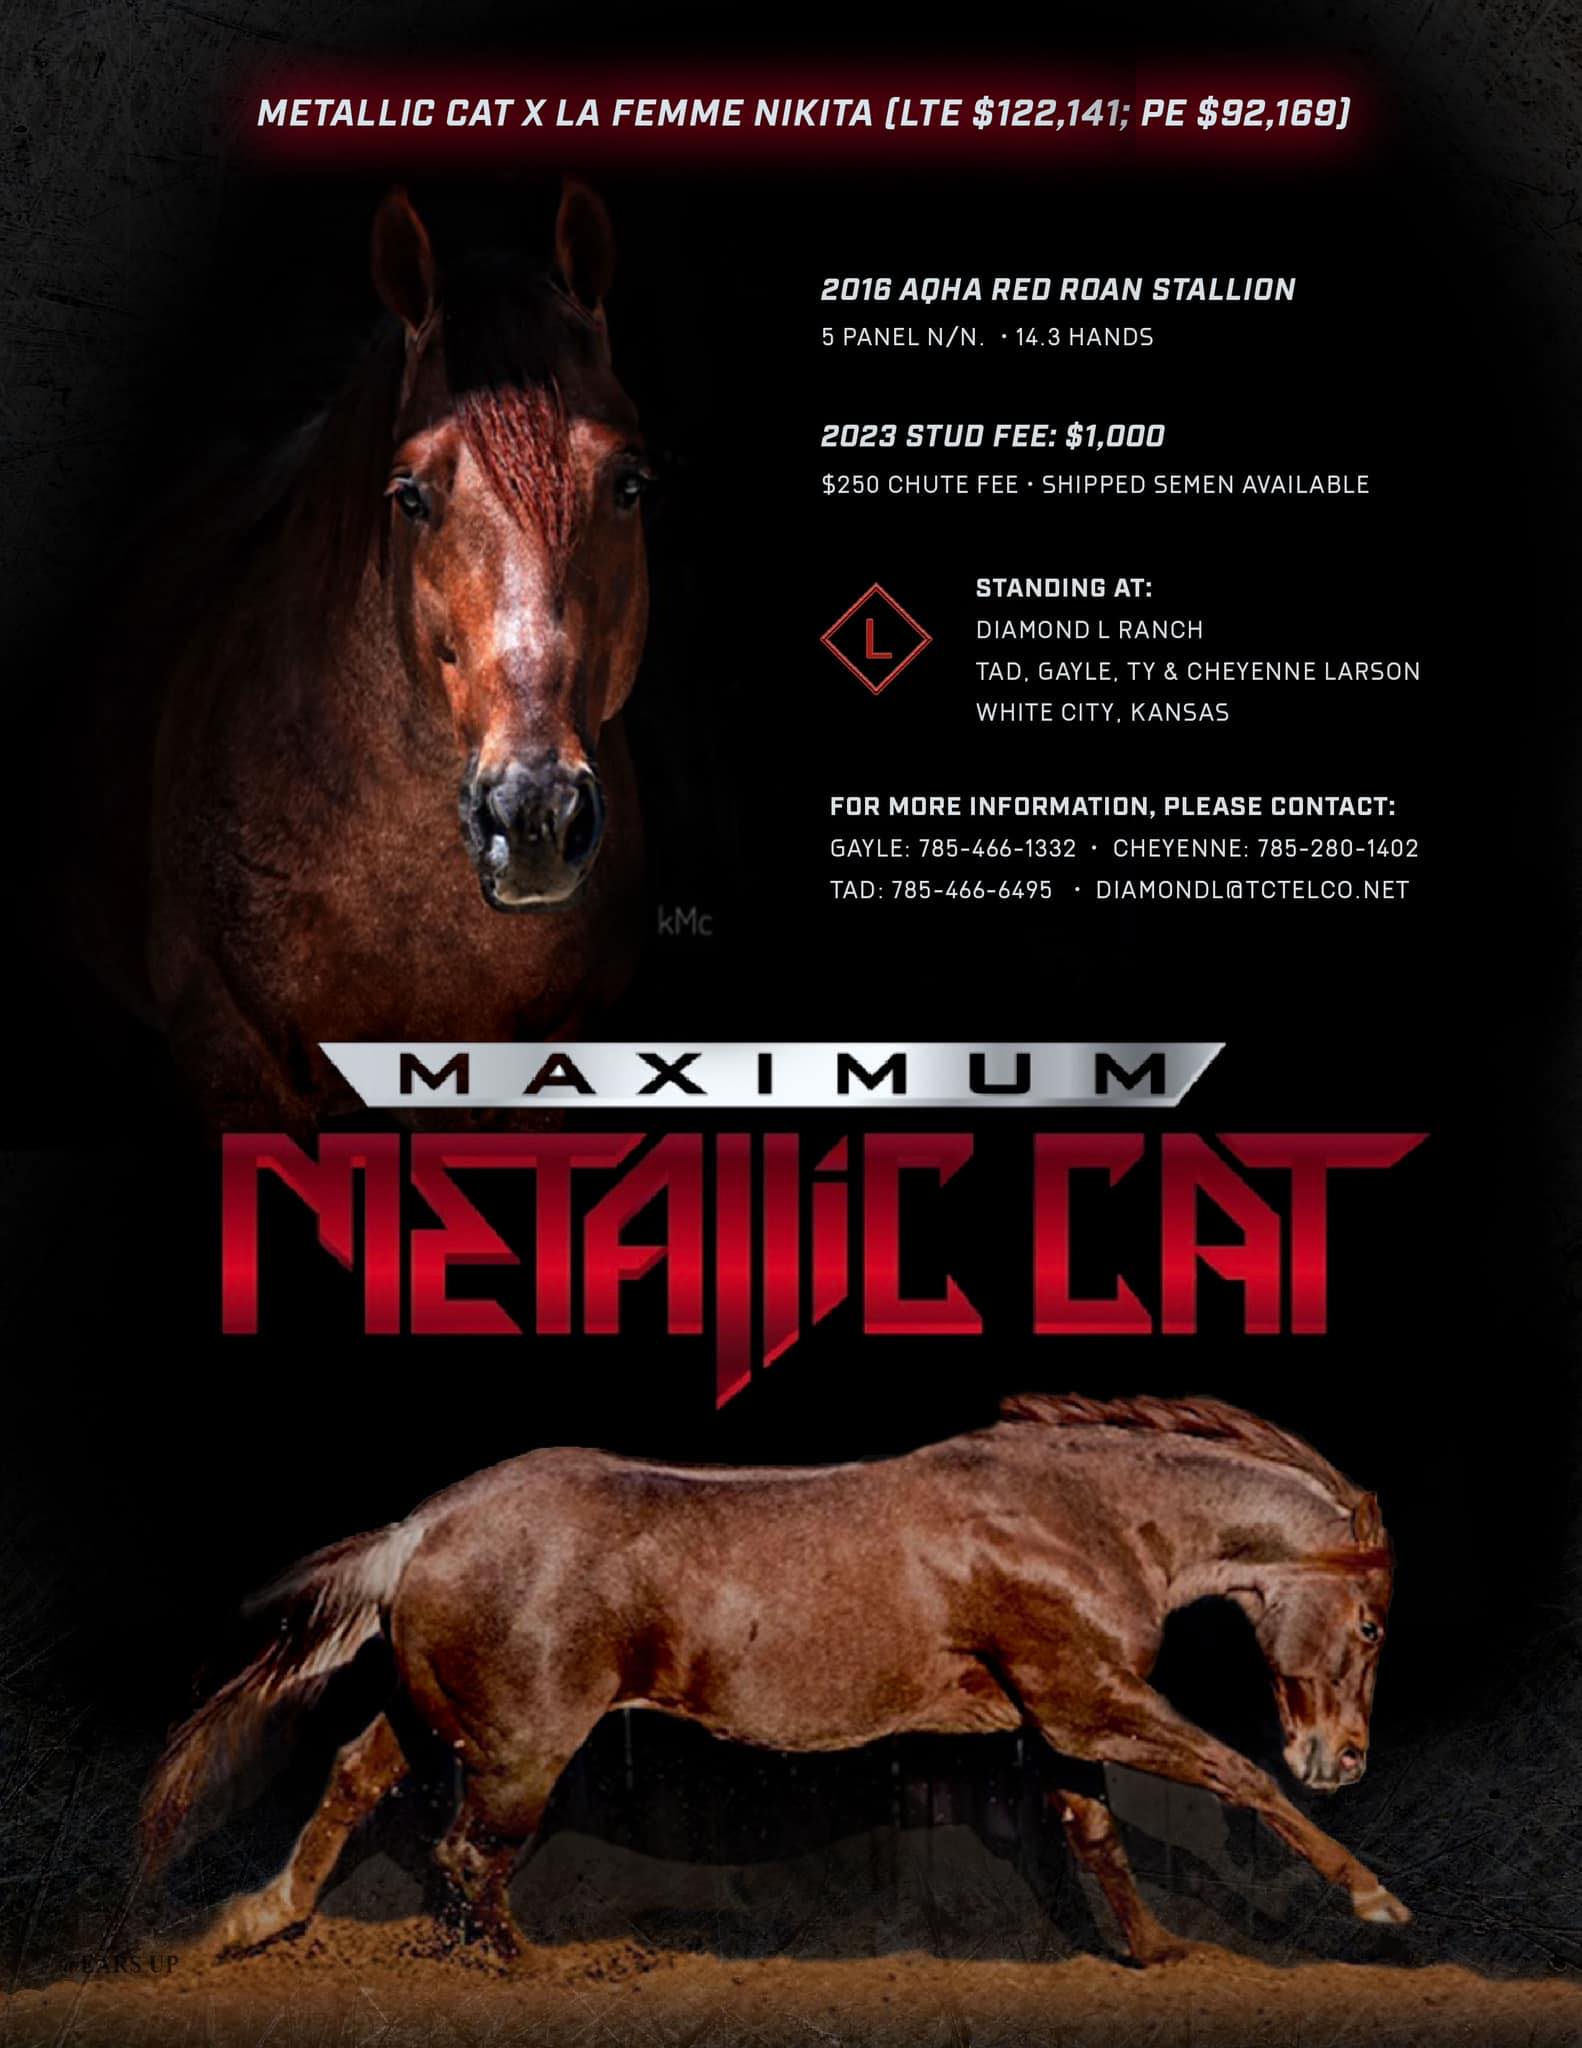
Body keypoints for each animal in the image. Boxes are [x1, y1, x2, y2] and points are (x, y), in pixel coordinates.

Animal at [142, 1394, 1410, 1967]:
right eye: (1372, 1621)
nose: (1343, 1758)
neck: (1081, 1516)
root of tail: (424, 1527)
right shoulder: (1088, 1698)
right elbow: (1237, 1774)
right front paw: (1376, 1899)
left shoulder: (1061, 1718)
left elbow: (1093, 1831)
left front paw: (1153, 1951)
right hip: (521, 1746)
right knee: (464, 1852)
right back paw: (526, 1967)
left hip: (432, 1715)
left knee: (354, 1783)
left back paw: (257, 1917)